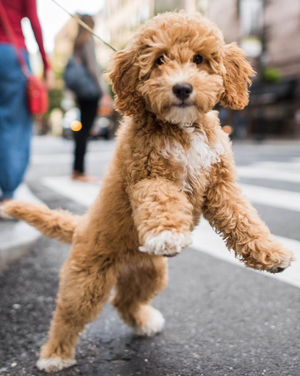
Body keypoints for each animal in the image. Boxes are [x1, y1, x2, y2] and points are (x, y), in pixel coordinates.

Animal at [3, 10, 294, 372]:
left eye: (199, 59)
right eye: (159, 60)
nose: (182, 88)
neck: (183, 127)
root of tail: (81, 226)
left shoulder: (220, 184)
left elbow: (245, 218)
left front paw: (271, 253)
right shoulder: (148, 176)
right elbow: (162, 201)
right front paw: (167, 234)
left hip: (151, 275)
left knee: (125, 301)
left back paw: (144, 322)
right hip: (86, 277)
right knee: (69, 314)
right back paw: (55, 355)